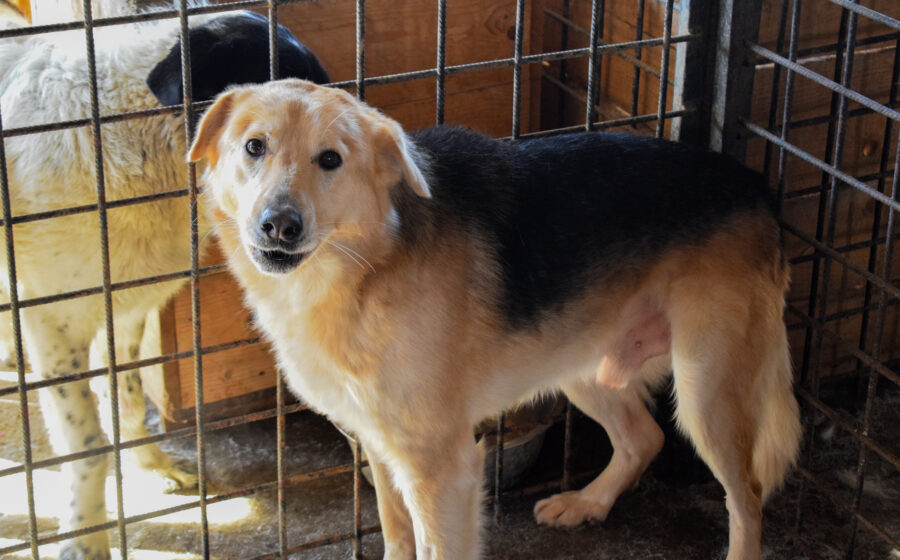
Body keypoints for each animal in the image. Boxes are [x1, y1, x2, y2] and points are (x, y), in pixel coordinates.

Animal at [0, 12, 326, 560]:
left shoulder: (126, 309)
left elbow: (129, 399)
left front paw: (150, 468)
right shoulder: (54, 323)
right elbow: (88, 445)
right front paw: (86, 541)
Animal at [188, 79, 802, 560]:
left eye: (331, 159)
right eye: (254, 147)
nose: (279, 225)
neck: (368, 266)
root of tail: (755, 186)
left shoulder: (444, 469)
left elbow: (435, 546)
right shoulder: (381, 447)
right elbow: (396, 534)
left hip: (707, 394)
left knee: (747, 495)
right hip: (581, 367)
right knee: (642, 439)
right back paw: (589, 503)